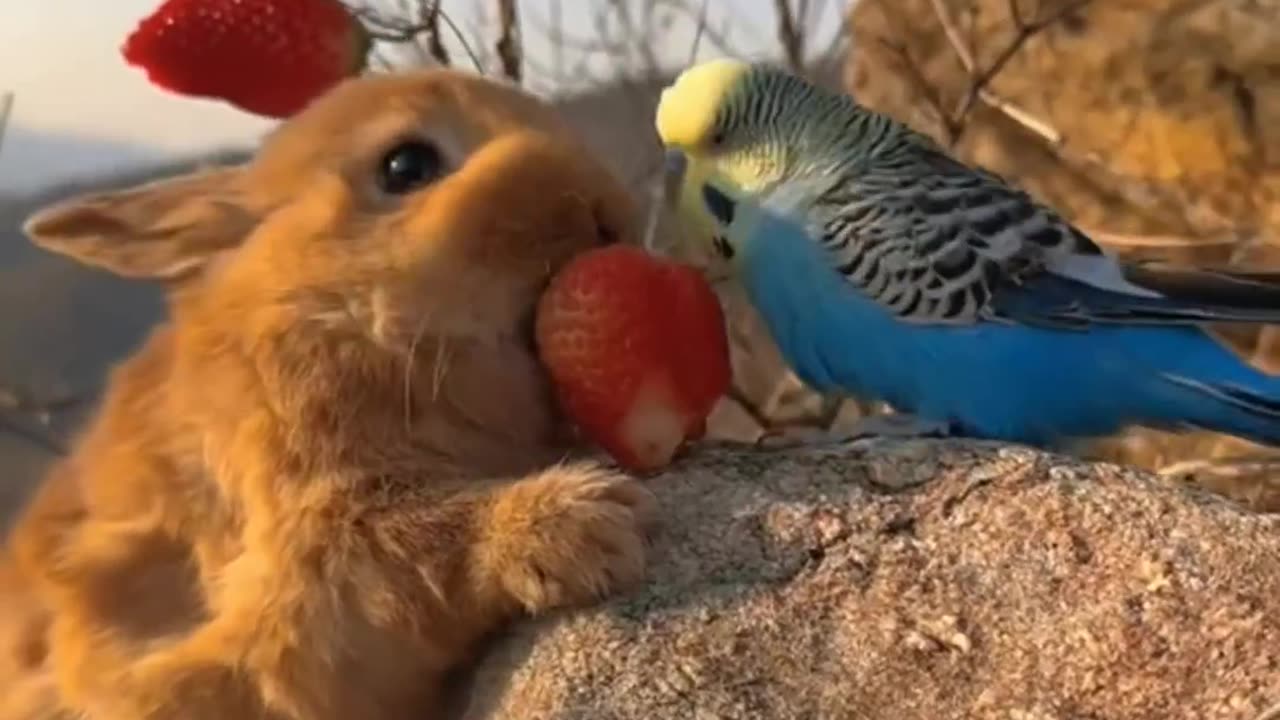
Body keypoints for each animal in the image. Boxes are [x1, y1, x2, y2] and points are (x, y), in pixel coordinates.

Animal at [0, 67, 655, 717]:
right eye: (406, 166)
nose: (608, 213)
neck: (325, 314)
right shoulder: (316, 568)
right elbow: (419, 542)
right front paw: (590, 520)